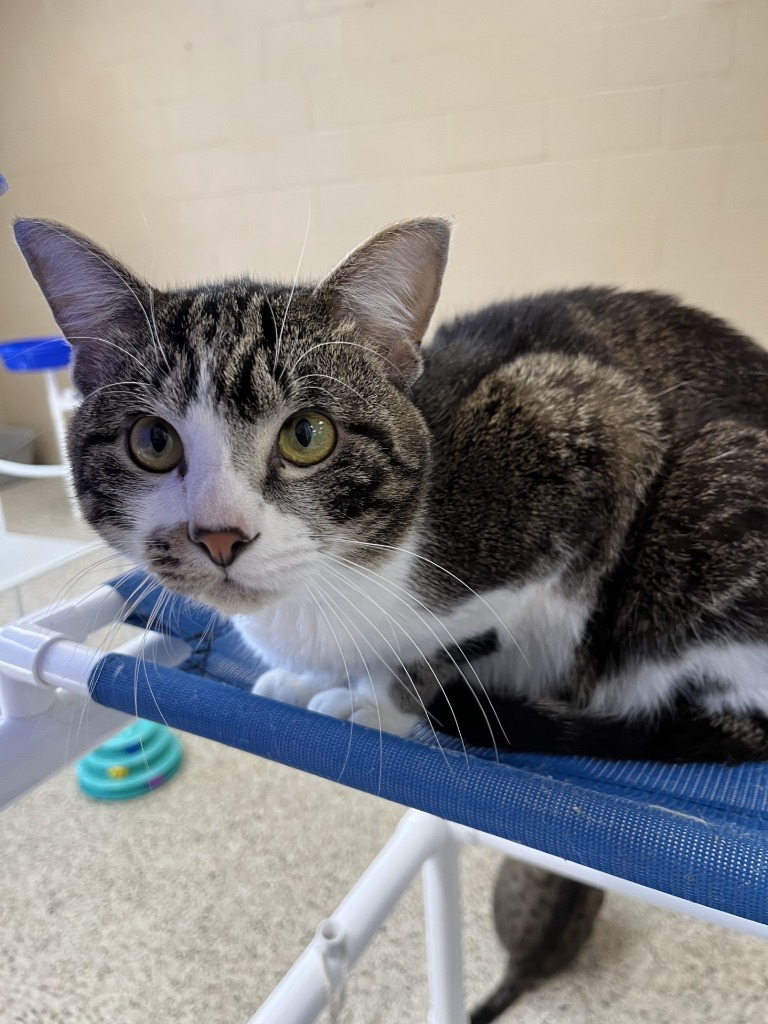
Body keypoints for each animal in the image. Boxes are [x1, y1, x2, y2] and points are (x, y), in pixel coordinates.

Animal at [13, 214, 768, 761]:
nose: (222, 536)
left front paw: (376, 703)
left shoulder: (588, 435)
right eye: (153, 442)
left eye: (307, 435)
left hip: (708, 495)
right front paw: (312, 679)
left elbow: (453, 649)